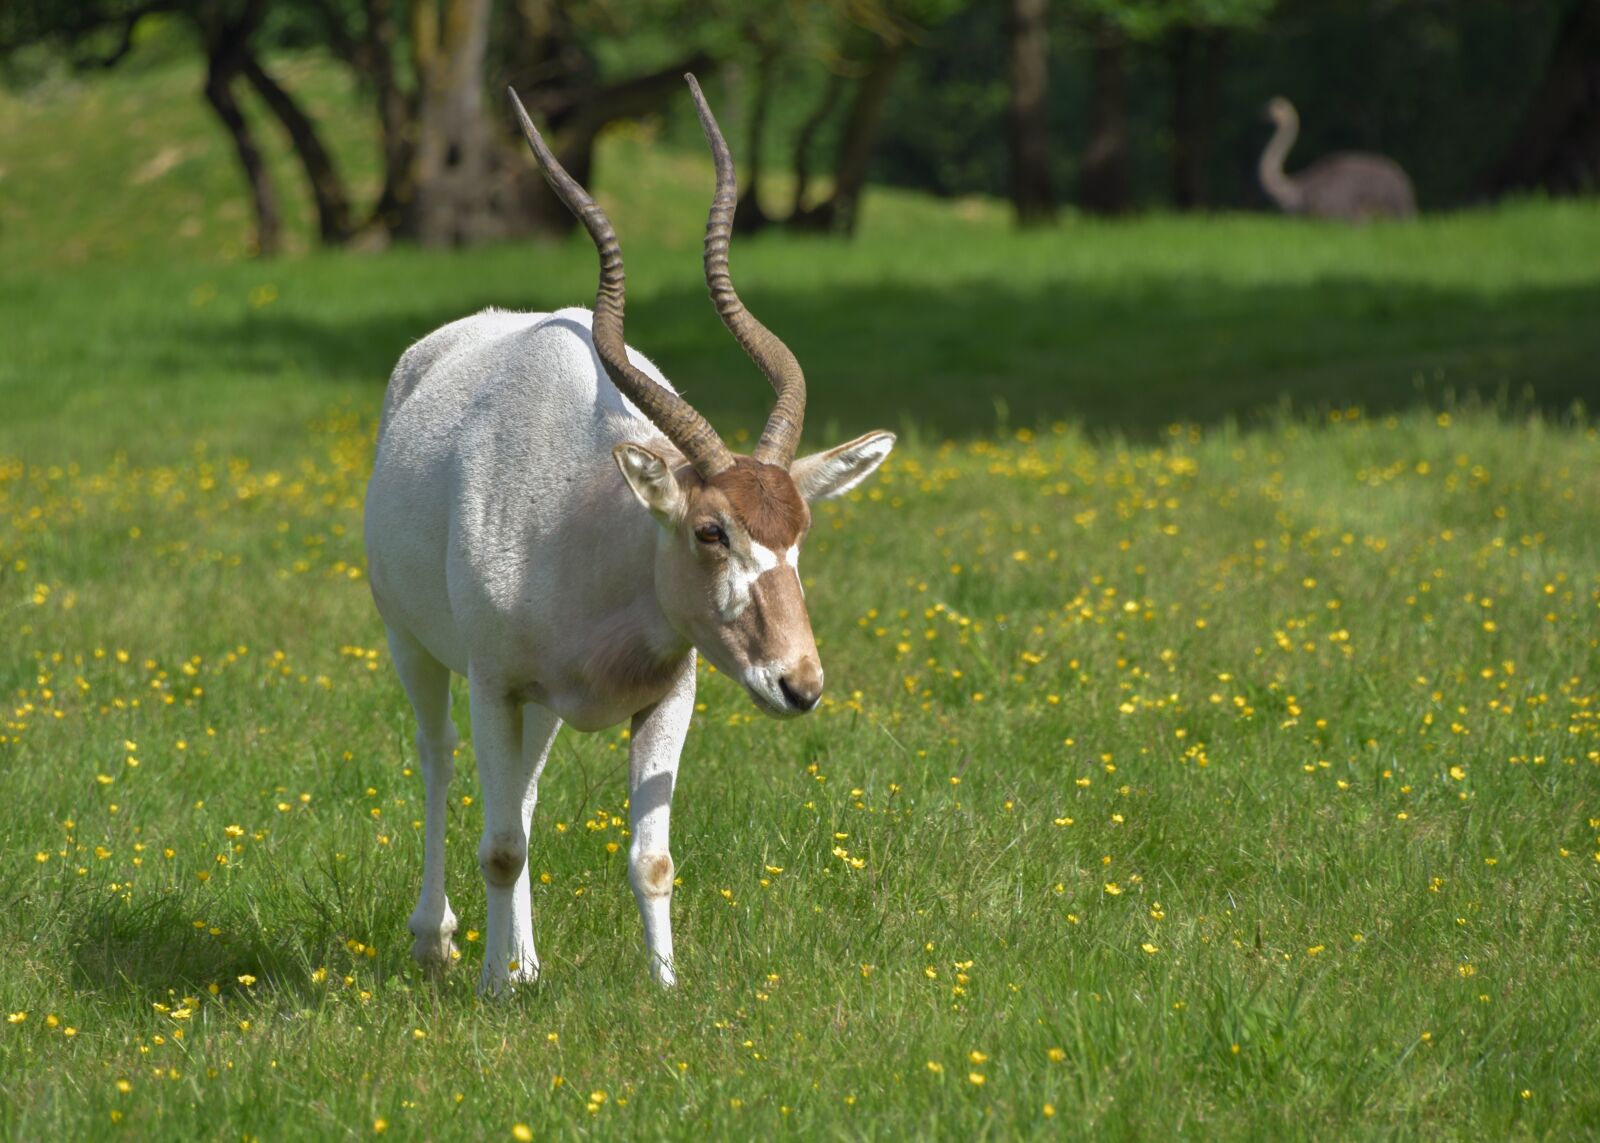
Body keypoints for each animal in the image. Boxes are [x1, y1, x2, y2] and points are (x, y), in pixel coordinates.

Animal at [363, 75, 895, 995]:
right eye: (711, 531)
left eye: (800, 532)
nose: (799, 684)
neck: (587, 527)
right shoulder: (493, 682)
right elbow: (498, 845)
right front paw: (493, 988)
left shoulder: (668, 694)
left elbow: (649, 857)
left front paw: (664, 987)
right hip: (418, 648)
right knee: (439, 759)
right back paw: (441, 940)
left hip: (536, 704)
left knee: (525, 791)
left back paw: (528, 959)